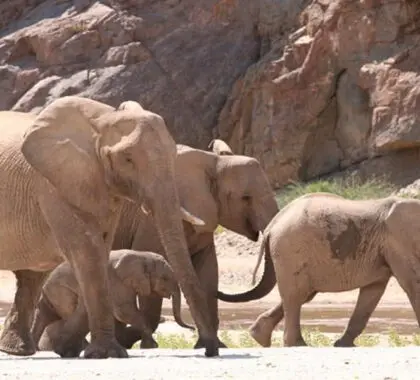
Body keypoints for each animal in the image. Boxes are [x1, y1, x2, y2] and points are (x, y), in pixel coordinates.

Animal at [32, 249, 194, 356]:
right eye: (165, 278)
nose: (193, 328)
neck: (143, 255)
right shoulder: (116, 281)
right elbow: (124, 311)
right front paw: (151, 347)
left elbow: (118, 314)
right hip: (62, 291)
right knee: (67, 313)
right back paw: (80, 348)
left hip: (53, 294)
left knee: (46, 316)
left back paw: (36, 349)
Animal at [217, 193, 420, 348]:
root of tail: (272, 225)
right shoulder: (399, 242)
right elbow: (413, 284)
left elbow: (372, 292)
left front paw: (342, 345)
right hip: (291, 251)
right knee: (296, 296)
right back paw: (296, 345)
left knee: (302, 294)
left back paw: (259, 337)